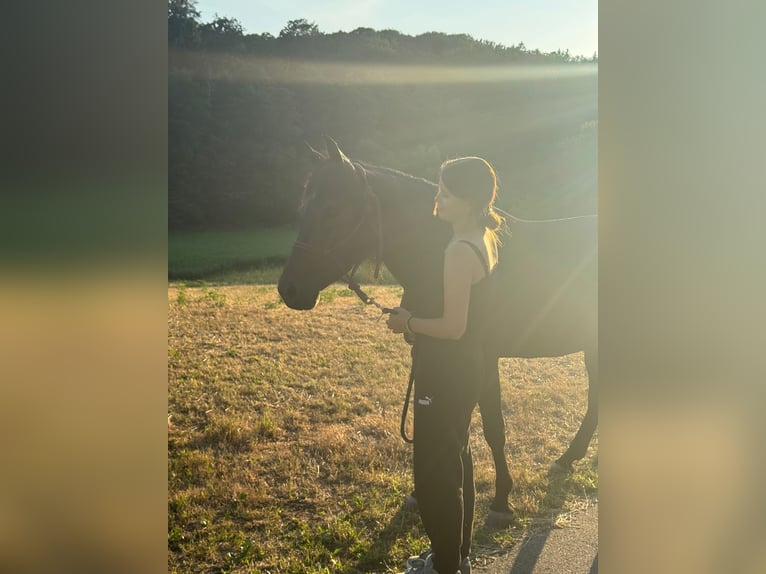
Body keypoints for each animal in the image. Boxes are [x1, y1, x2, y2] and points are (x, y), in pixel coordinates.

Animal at [278, 137, 597, 526]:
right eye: (304, 209)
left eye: (333, 210)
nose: (289, 289)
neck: (439, 260)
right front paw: (419, 493)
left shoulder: (484, 361)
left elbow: (494, 430)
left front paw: (501, 501)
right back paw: (568, 458)